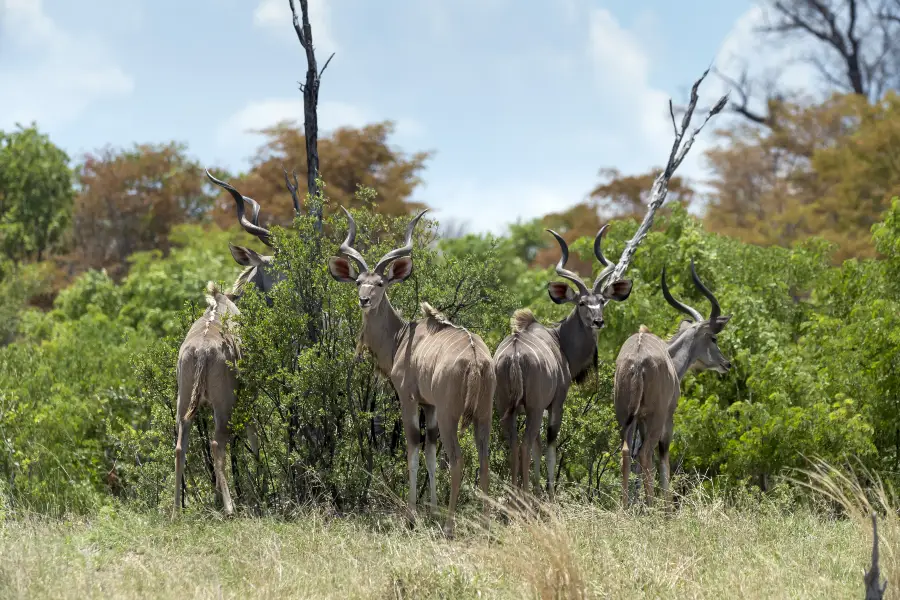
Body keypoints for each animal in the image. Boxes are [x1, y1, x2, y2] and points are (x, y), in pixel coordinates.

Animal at [174, 278, 244, 516]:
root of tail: (202, 351)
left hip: (183, 403)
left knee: (180, 448)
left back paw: (176, 512)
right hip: (224, 405)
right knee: (216, 443)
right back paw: (230, 507)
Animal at [326, 206, 496, 536]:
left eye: (380, 284)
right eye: (358, 282)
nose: (364, 300)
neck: (402, 337)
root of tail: (476, 360)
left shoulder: (409, 398)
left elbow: (414, 448)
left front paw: (413, 516)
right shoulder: (429, 406)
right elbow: (429, 450)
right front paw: (431, 511)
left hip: (451, 414)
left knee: (458, 459)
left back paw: (451, 527)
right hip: (483, 415)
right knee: (484, 460)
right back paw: (484, 524)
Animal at [492, 226, 632, 496]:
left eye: (602, 301)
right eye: (582, 303)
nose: (598, 321)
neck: (559, 339)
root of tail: (514, 356)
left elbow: (537, 447)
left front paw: (538, 492)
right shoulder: (555, 404)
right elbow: (549, 447)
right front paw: (548, 494)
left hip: (506, 408)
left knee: (513, 444)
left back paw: (515, 495)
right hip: (534, 408)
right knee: (525, 445)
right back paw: (524, 496)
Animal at [616, 260, 736, 508]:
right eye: (714, 338)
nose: (726, 363)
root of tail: (638, 361)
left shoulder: (639, 419)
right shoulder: (667, 418)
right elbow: (663, 456)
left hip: (625, 417)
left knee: (626, 452)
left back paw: (624, 508)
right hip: (656, 417)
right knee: (645, 452)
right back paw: (653, 507)